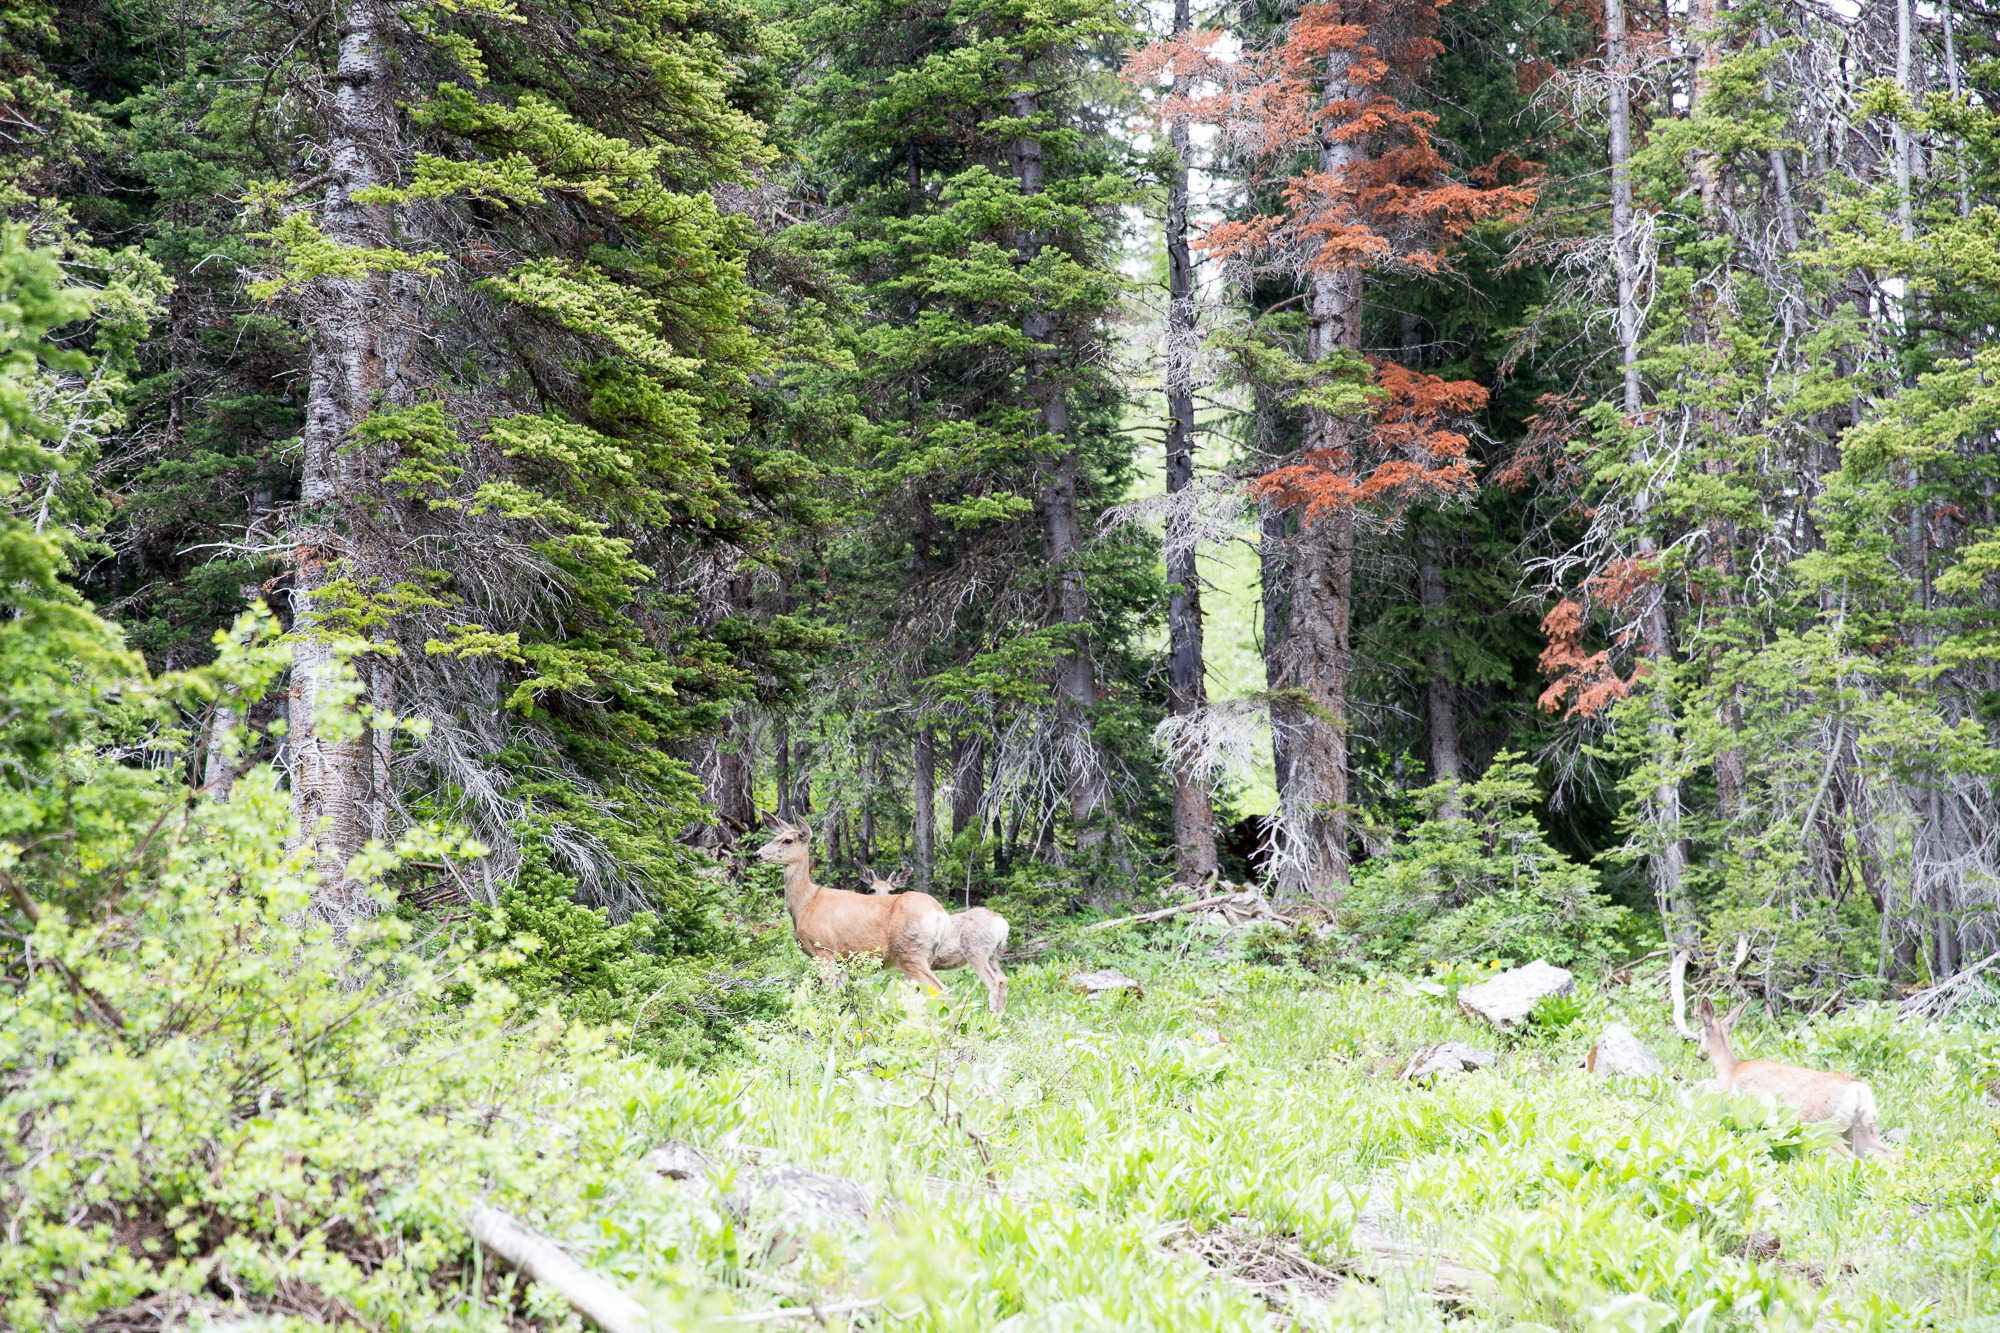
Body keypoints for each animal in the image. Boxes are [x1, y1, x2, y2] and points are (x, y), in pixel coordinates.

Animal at [1696, 992, 1896, 1160]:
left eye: (1699, 1035)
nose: (1699, 1054)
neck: (1730, 1068)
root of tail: (1858, 1089)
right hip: (1862, 1128)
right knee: (1891, 1155)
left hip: (1824, 1126)